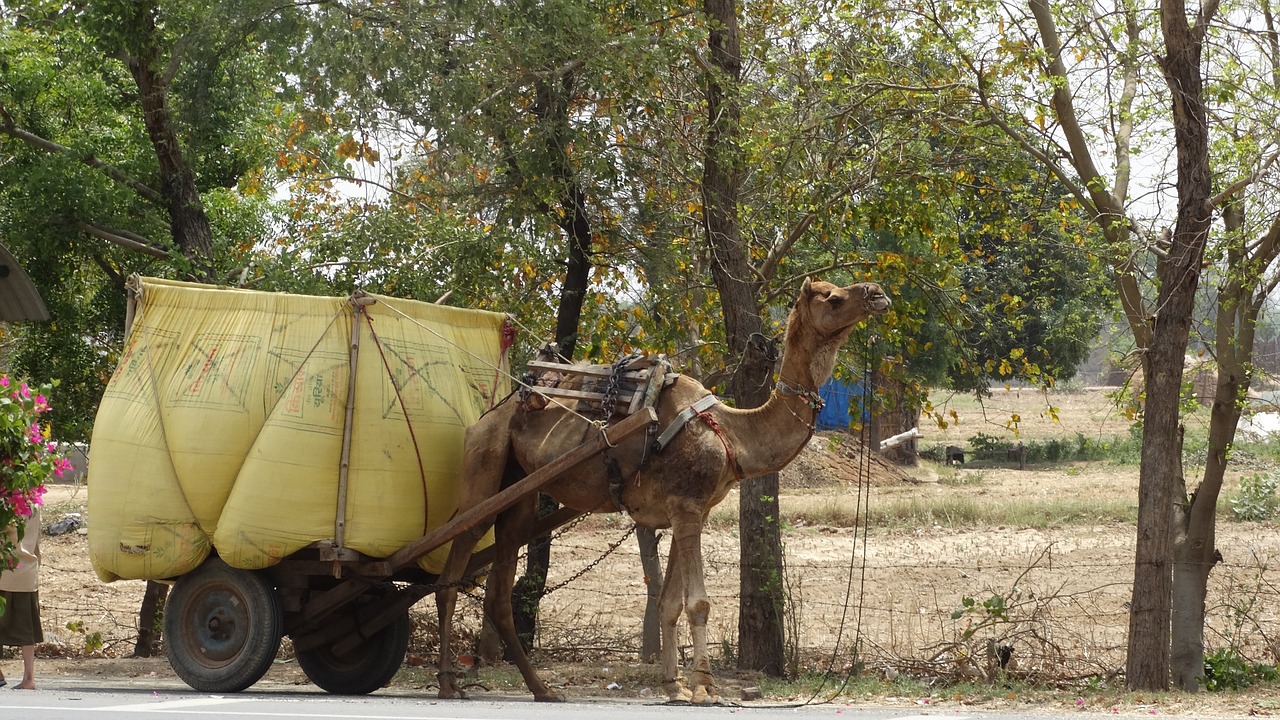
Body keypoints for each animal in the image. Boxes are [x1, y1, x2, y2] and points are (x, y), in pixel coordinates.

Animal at [435, 275, 885, 702]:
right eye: (833, 298)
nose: (877, 293)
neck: (731, 434)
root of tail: (484, 417)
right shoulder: (687, 507)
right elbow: (698, 602)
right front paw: (705, 689)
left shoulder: (687, 511)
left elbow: (670, 603)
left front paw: (674, 687)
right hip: (484, 466)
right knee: (452, 567)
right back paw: (449, 683)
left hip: (520, 490)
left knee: (498, 590)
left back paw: (541, 689)